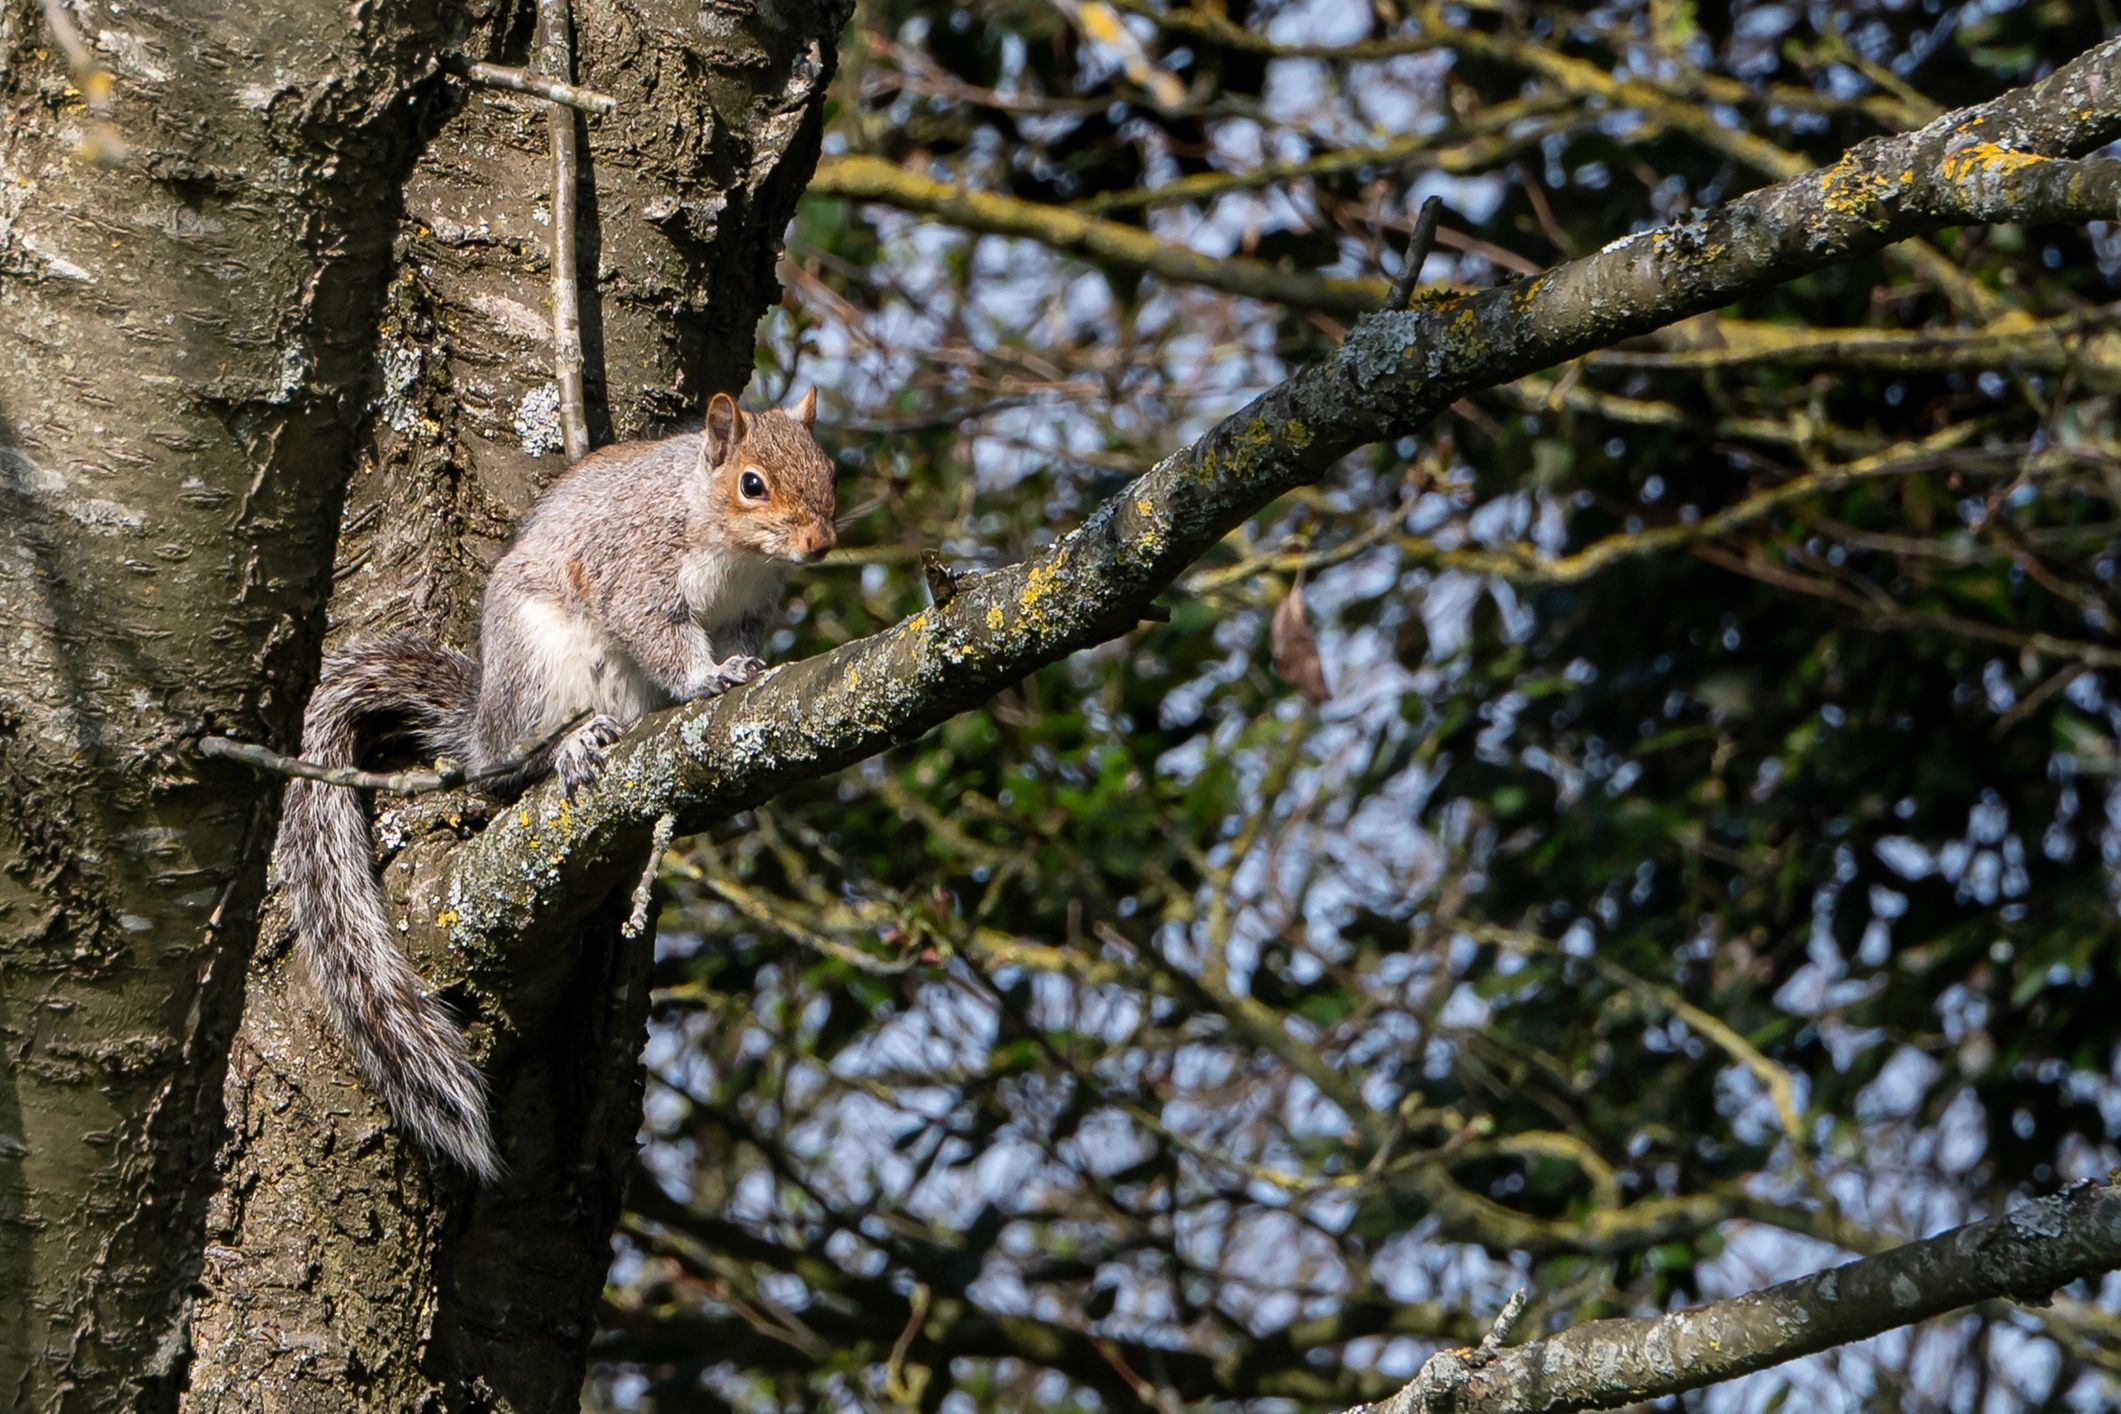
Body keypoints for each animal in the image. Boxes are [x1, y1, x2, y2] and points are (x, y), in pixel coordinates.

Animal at [275, 389, 836, 1180]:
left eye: (830, 468)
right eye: (752, 484)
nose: (820, 544)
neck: (729, 547)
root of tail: (485, 728)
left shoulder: (750, 610)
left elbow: (742, 641)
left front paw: (746, 668)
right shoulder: (637, 568)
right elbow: (659, 633)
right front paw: (705, 678)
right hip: (540, 664)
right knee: (526, 759)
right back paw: (572, 746)